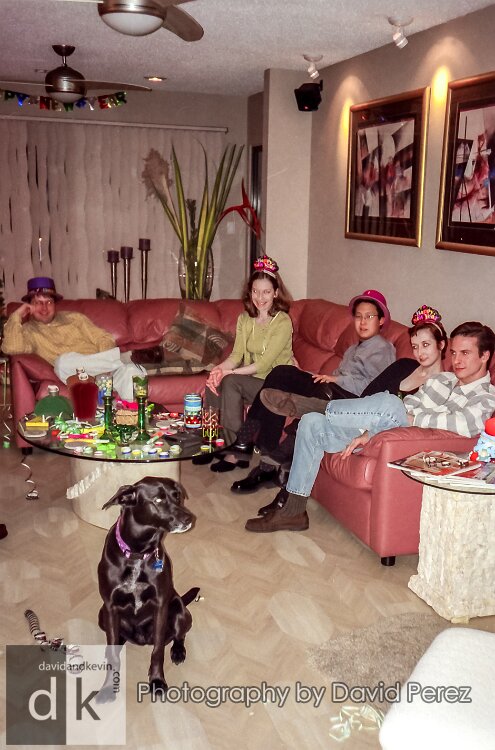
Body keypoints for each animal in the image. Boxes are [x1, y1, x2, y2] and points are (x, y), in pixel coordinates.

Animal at [97, 476, 198, 699]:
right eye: (158, 500)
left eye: (176, 495)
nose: (189, 518)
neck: (137, 553)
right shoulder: (110, 606)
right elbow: (112, 655)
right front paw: (108, 687)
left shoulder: (161, 605)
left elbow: (158, 651)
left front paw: (157, 681)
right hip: (101, 616)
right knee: (115, 641)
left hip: (179, 609)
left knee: (179, 635)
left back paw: (178, 651)